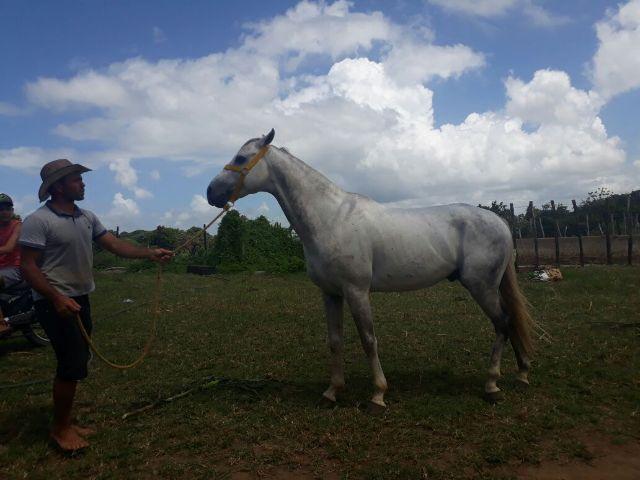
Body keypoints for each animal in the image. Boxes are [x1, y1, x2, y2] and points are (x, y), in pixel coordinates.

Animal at [206, 129, 534, 410]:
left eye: (241, 158)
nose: (211, 193)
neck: (331, 218)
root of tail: (500, 222)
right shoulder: (331, 293)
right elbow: (335, 341)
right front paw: (332, 392)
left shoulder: (357, 291)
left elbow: (368, 340)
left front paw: (378, 394)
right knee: (510, 322)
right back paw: (521, 373)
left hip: (481, 286)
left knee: (502, 324)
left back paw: (492, 385)